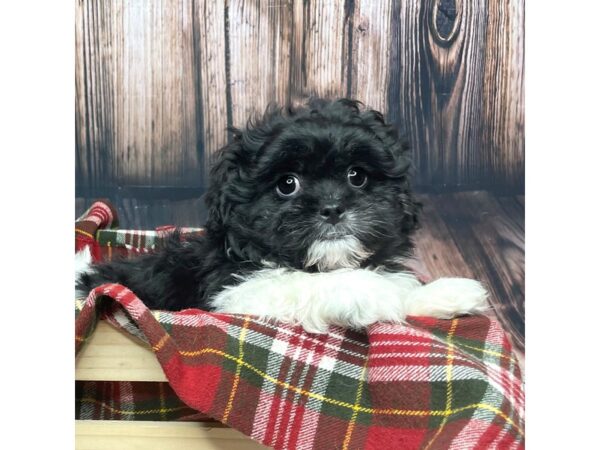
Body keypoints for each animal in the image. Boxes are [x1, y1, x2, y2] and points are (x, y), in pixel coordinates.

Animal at [75, 98, 488, 332]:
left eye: (357, 176)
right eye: (287, 184)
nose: (332, 207)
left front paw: (445, 293)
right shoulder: (234, 293)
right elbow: (307, 284)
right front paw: (367, 289)